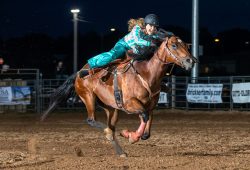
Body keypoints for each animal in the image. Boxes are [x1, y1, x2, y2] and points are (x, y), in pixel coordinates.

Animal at [41, 32, 197, 157]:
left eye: (186, 45)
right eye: (174, 45)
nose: (191, 61)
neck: (146, 74)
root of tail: (79, 73)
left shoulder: (150, 106)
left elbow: (147, 130)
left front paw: (131, 135)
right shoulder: (130, 103)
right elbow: (144, 117)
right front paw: (131, 136)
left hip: (111, 108)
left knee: (111, 126)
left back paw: (120, 151)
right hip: (88, 97)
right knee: (92, 121)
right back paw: (108, 133)